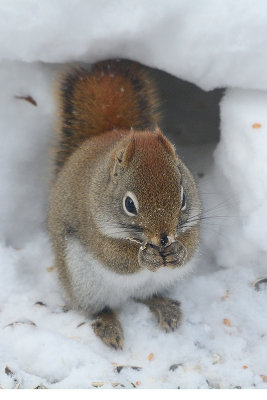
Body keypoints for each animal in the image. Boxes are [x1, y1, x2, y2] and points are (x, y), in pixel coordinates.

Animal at [49, 60, 201, 350]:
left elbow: (191, 244)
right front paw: (144, 257)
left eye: (184, 197)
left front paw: (178, 251)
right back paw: (108, 325)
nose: (164, 238)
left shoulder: (194, 223)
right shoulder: (93, 227)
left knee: (146, 295)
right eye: (129, 204)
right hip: (83, 282)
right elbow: (115, 257)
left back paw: (164, 307)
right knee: (99, 307)